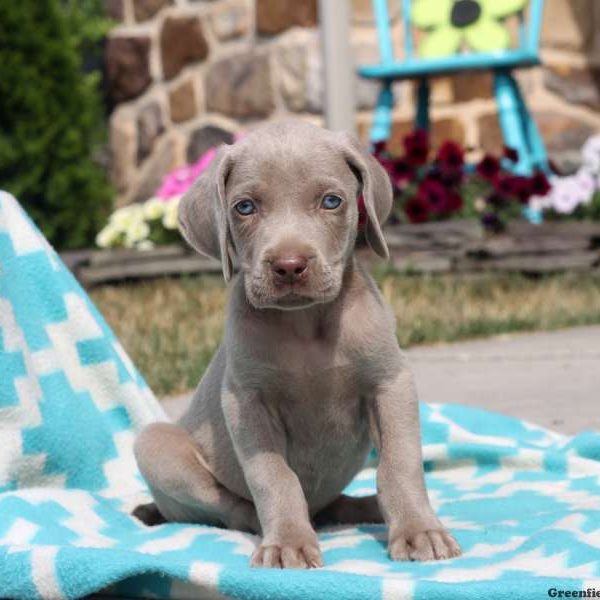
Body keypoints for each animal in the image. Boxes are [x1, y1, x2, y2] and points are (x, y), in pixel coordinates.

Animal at [136, 120, 462, 568]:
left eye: (331, 201)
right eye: (244, 208)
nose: (289, 266)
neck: (307, 324)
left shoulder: (390, 382)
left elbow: (399, 463)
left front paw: (417, 530)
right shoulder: (246, 402)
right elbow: (274, 476)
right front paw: (288, 541)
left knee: (337, 503)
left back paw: (366, 508)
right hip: (154, 444)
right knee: (234, 508)